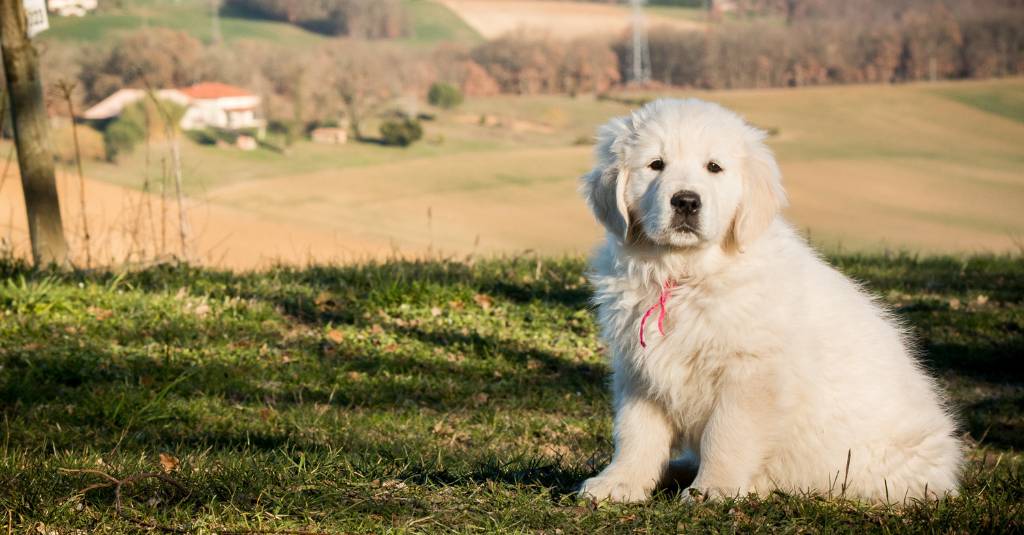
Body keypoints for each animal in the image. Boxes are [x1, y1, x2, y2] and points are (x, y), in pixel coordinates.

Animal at [581, 97, 962, 502]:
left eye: (714, 167)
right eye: (656, 164)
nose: (685, 201)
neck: (686, 275)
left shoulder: (751, 371)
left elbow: (726, 434)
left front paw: (714, 488)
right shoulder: (639, 370)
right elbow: (635, 433)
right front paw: (619, 482)